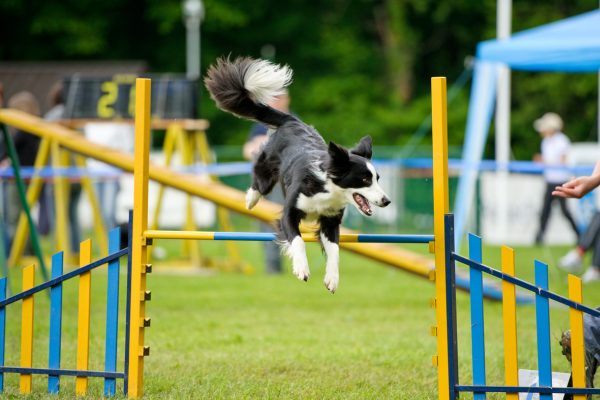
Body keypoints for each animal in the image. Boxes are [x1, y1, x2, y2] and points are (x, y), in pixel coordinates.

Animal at [206, 57, 392, 294]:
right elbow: (298, 240)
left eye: (377, 179)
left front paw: (332, 279)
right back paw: (250, 200)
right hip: (267, 169)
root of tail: (292, 121)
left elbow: (335, 251)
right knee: (259, 183)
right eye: (365, 179)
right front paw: (301, 269)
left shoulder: (330, 221)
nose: (387, 201)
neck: (327, 189)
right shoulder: (289, 213)